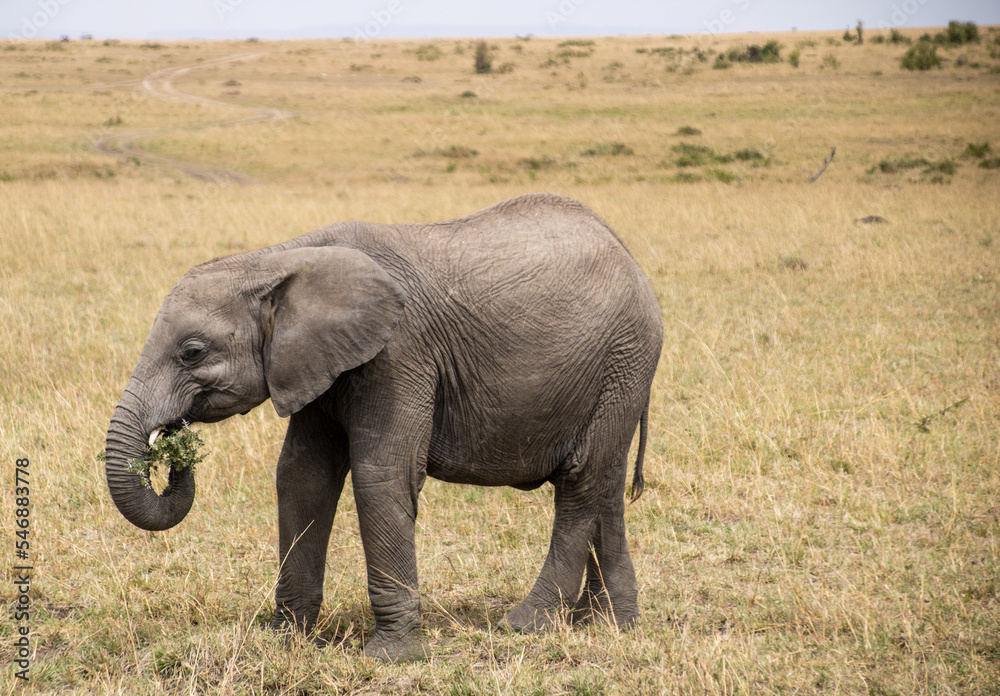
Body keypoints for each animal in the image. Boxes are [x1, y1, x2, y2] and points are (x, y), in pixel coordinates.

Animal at [103, 193, 664, 660]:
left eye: (192, 352)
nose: (173, 440)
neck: (280, 260)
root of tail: (632, 258)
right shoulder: (317, 363)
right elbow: (302, 477)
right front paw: (287, 641)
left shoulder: (398, 353)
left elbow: (382, 475)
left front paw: (390, 657)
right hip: (618, 372)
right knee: (606, 485)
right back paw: (610, 625)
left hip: (622, 358)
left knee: (580, 482)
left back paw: (527, 624)